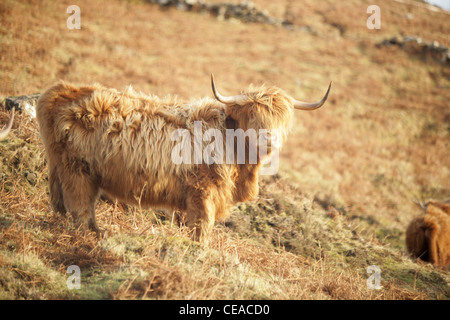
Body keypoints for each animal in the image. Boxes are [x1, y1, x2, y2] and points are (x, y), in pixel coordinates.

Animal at [36, 74, 330, 240]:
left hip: (74, 170)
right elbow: (200, 230)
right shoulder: (202, 192)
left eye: (284, 119)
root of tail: (63, 90)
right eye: (253, 115)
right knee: (80, 207)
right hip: (77, 168)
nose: (270, 140)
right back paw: (89, 236)